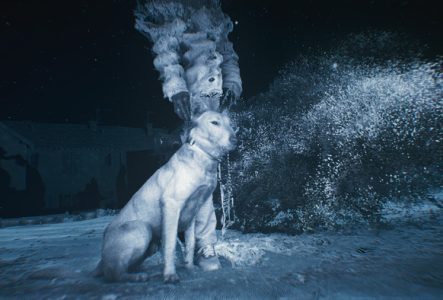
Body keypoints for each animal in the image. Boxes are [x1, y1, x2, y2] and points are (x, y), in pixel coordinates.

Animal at [93, 110, 238, 284]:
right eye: (214, 122)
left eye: (230, 124)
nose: (235, 140)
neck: (201, 155)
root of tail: (102, 260)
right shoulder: (171, 206)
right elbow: (170, 246)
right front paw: (170, 275)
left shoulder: (192, 215)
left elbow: (190, 245)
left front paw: (190, 268)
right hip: (142, 228)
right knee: (113, 273)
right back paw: (137, 277)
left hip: (151, 245)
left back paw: (149, 273)